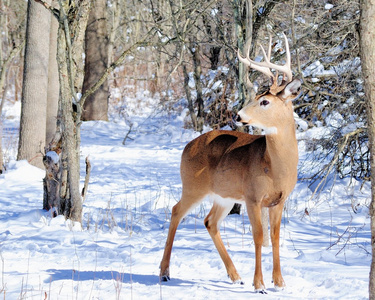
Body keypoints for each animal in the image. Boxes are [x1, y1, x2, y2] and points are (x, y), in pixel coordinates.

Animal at [160, 33, 302, 292]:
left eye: (264, 102)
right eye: (256, 97)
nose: (238, 115)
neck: (275, 168)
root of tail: (187, 146)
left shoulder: (279, 200)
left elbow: (274, 237)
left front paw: (279, 282)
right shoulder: (253, 196)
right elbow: (258, 236)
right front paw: (260, 284)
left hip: (223, 196)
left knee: (209, 222)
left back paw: (235, 276)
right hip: (193, 186)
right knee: (176, 212)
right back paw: (164, 272)